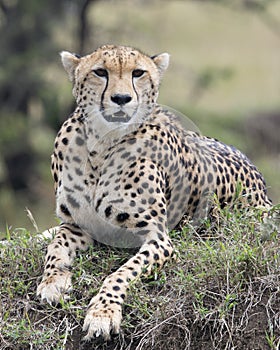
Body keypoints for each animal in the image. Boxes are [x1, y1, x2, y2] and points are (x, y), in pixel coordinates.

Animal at [36, 45, 272, 340]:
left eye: (138, 73)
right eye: (100, 72)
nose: (121, 98)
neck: (102, 145)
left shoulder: (158, 239)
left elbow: (121, 274)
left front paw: (102, 314)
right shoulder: (76, 225)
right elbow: (55, 247)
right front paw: (53, 282)